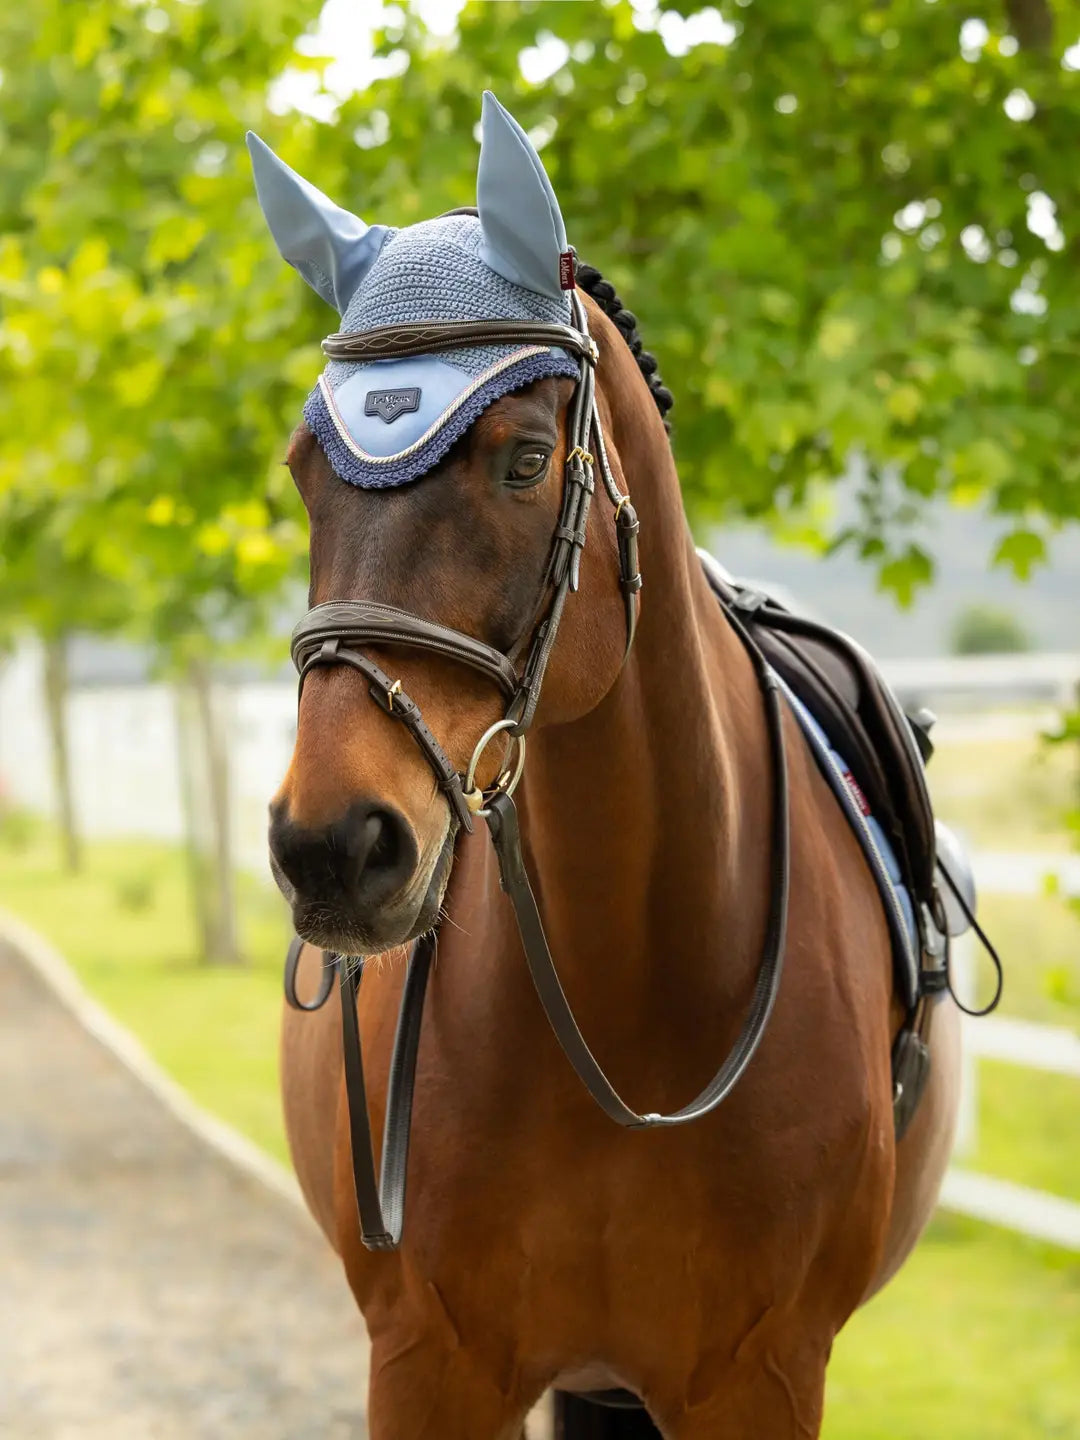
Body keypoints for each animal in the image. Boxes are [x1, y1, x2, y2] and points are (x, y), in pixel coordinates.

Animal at [253, 93, 961, 1438]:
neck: (634, 1005)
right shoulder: (427, 1364)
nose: (333, 847)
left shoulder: (761, 1376)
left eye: (526, 460)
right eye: (304, 473)